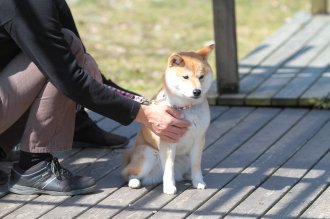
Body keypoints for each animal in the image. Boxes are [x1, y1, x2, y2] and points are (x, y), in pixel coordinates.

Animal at [122, 44, 214, 195]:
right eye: (185, 77)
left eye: (201, 76)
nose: (197, 91)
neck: (186, 107)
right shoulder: (168, 141)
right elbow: (169, 167)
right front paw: (169, 187)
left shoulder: (198, 140)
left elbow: (196, 164)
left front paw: (198, 181)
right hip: (148, 154)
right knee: (128, 173)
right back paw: (134, 181)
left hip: (184, 159)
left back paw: (187, 176)